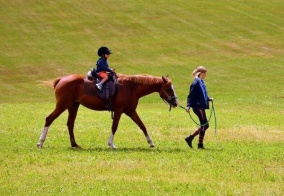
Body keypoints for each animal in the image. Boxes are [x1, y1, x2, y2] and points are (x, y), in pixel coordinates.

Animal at [36, 73, 179, 149]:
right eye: (169, 89)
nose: (176, 102)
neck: (131, 87)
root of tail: (62, 79)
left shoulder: (131, 111)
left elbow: (142, 126)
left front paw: (151, 143)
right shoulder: (119, 111)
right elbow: (114, 127)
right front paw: (111, 144)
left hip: (73, 106)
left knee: (70, 124)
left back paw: (74, 144)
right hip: (62, 105)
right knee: (49, 119)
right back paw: (40, 142)